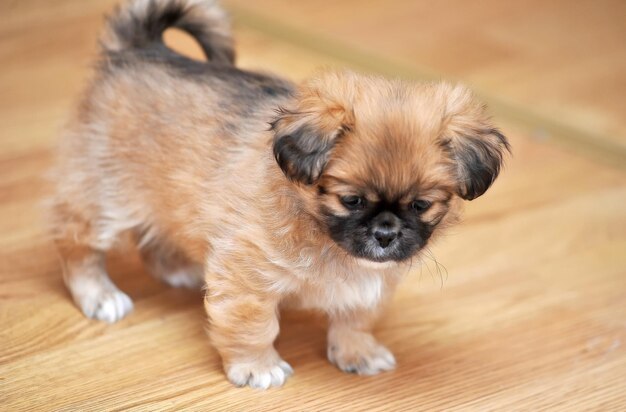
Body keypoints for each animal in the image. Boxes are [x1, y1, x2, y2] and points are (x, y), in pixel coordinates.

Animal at [47, 0, 508, 390]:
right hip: (105, 196)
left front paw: (356, 352)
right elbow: (254, 327)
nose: (386, 232)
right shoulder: (248, 279)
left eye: (421, 205)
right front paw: (257, 367)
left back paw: (177, 268)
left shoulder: (370, 285)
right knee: (75, 242)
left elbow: (356, 318)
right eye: (351, 200)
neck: (324, 237)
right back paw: (99, 295)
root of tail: (138, 49)